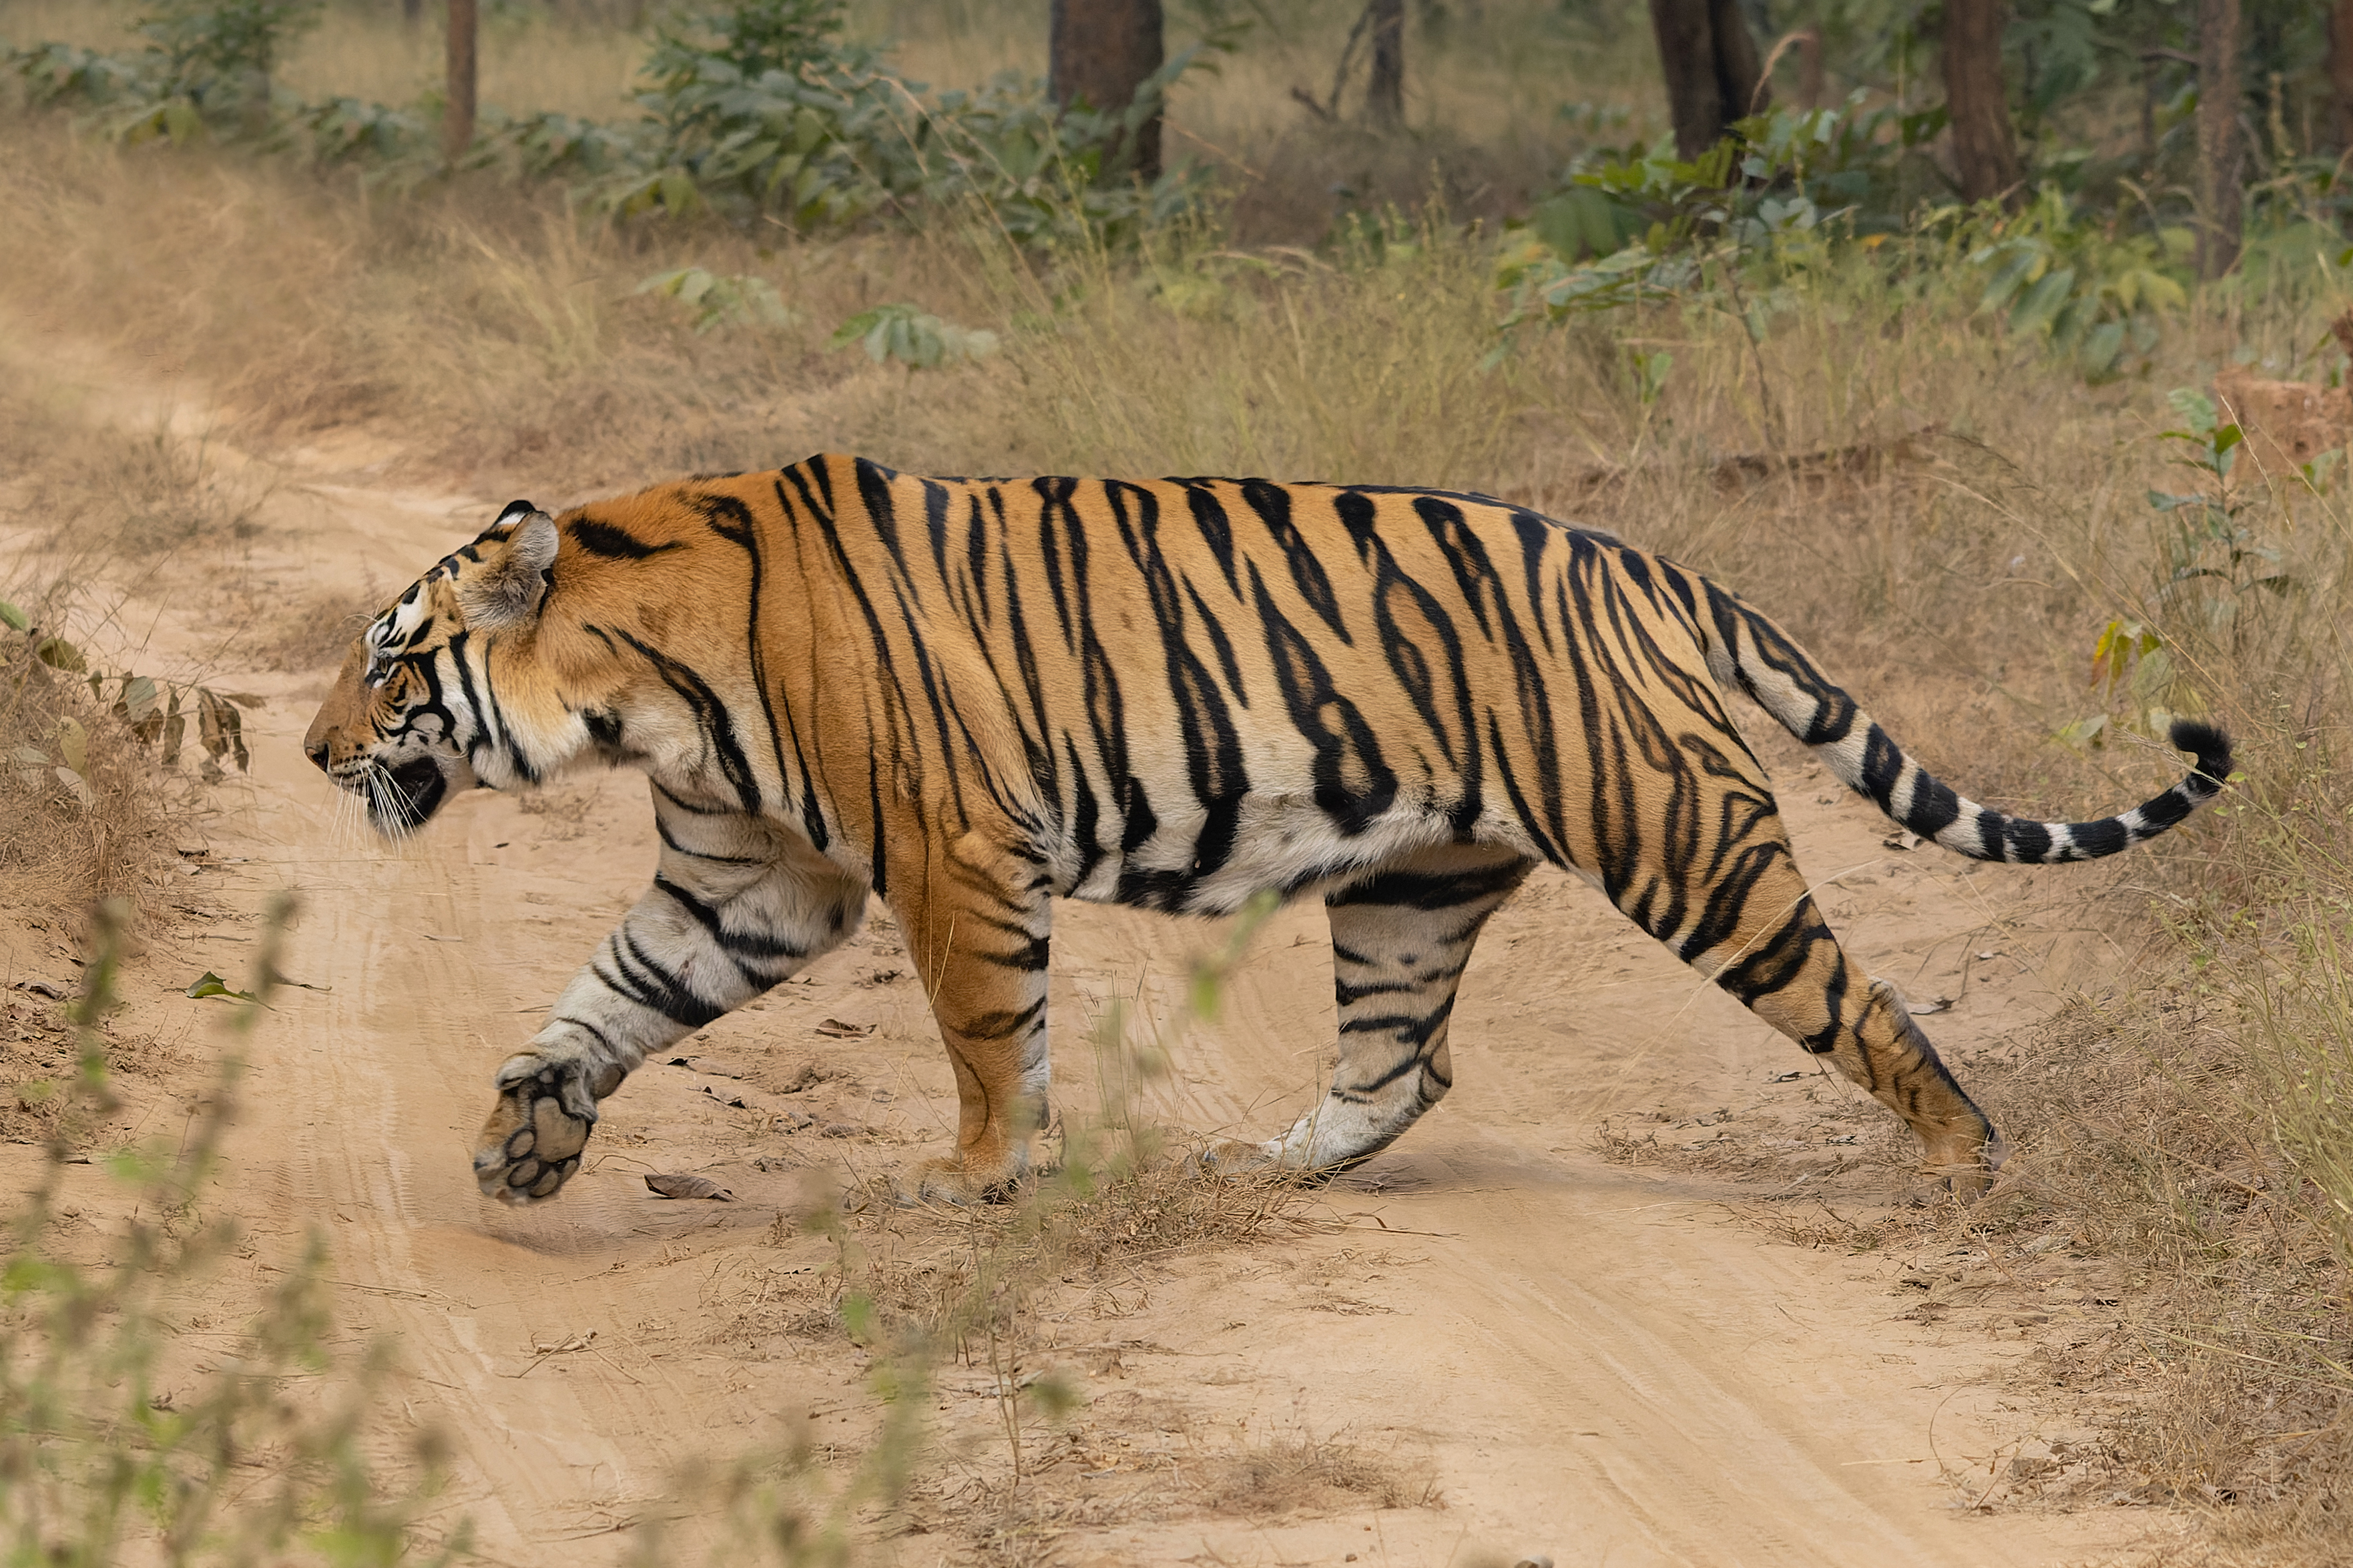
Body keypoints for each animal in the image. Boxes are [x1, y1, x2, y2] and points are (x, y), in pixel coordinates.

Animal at [302, 454, 2232, 1207]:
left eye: (390, 658)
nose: (314, 751)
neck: (638, 680)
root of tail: (1651, 565)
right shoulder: (744, 873)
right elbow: (610, 993)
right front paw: (526, 1133)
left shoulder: (953, 849)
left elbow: (981, 1030)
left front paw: (980, 1175)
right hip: (1408, 885)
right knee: (1402, 1060)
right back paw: (1268, 1164)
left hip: (1685, 841)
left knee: (1864, 1002)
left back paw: (1963, 1164)